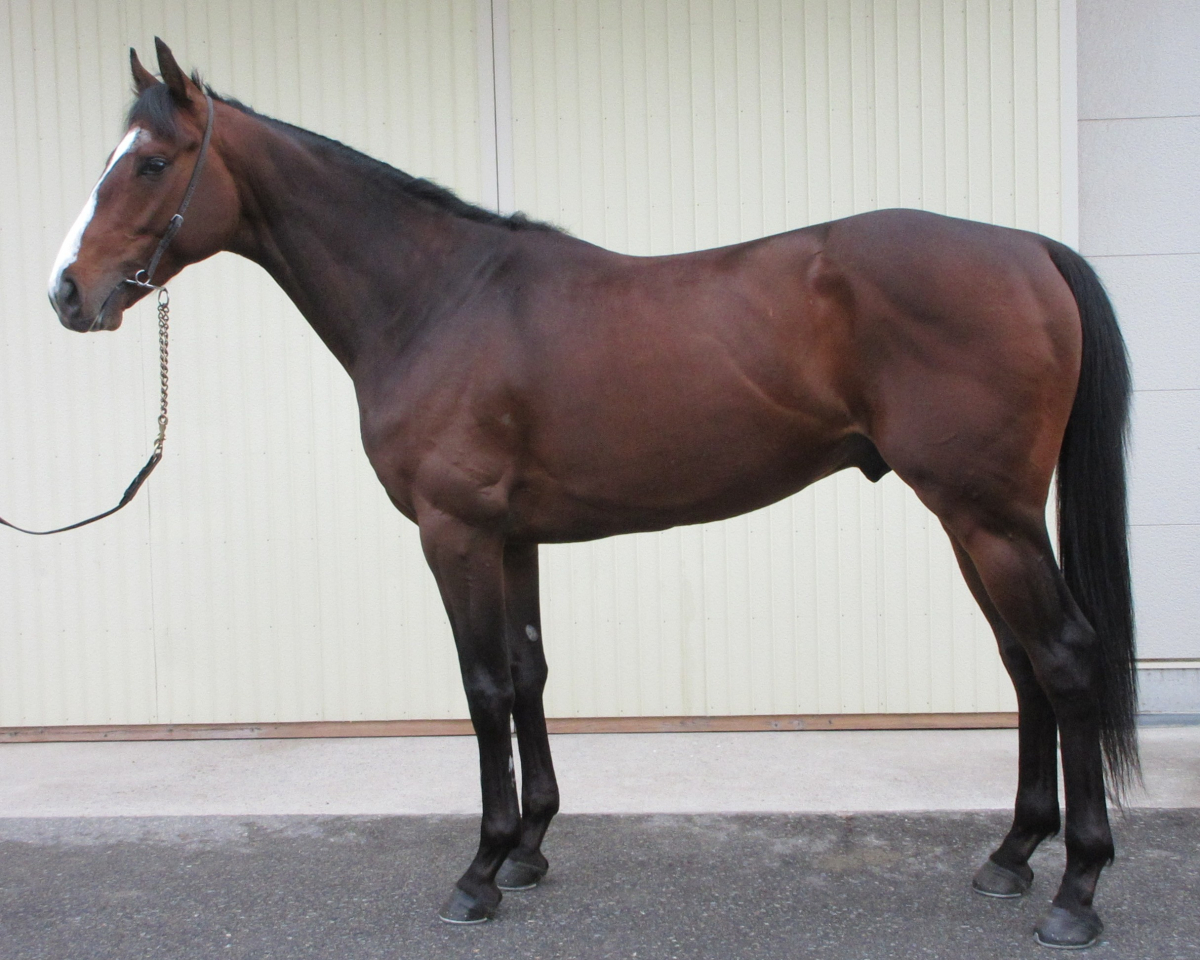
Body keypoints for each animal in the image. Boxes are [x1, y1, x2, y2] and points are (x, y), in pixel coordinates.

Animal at [46, 40, 1137, 949]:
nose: (64, 293)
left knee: (1066, 660)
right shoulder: (512, 537)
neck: (437, 297)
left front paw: (479, 871)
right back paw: (1010, 857)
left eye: (151, 163)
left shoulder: (454, 533)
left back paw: (1077, 892)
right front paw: (529, 849)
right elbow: (528, 674)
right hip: (974, 519)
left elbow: (483, 687)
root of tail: (1029, 249)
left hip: (988, 518)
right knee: (1023, 665)